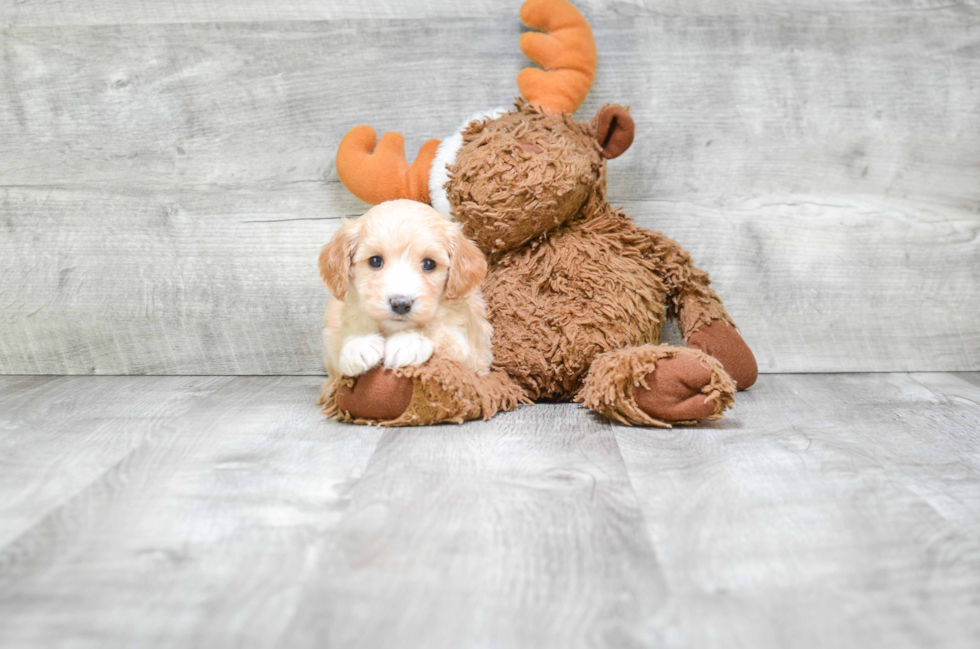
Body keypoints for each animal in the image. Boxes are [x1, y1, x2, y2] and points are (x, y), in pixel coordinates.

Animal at [320, 200, 494, 378]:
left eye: (429, 264)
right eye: (375, 261)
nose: (401, 304)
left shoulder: (473, 358)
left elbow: (441, 337)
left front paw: (409, 342)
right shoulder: (332, 347)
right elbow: (338, 348)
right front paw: (359, 345)